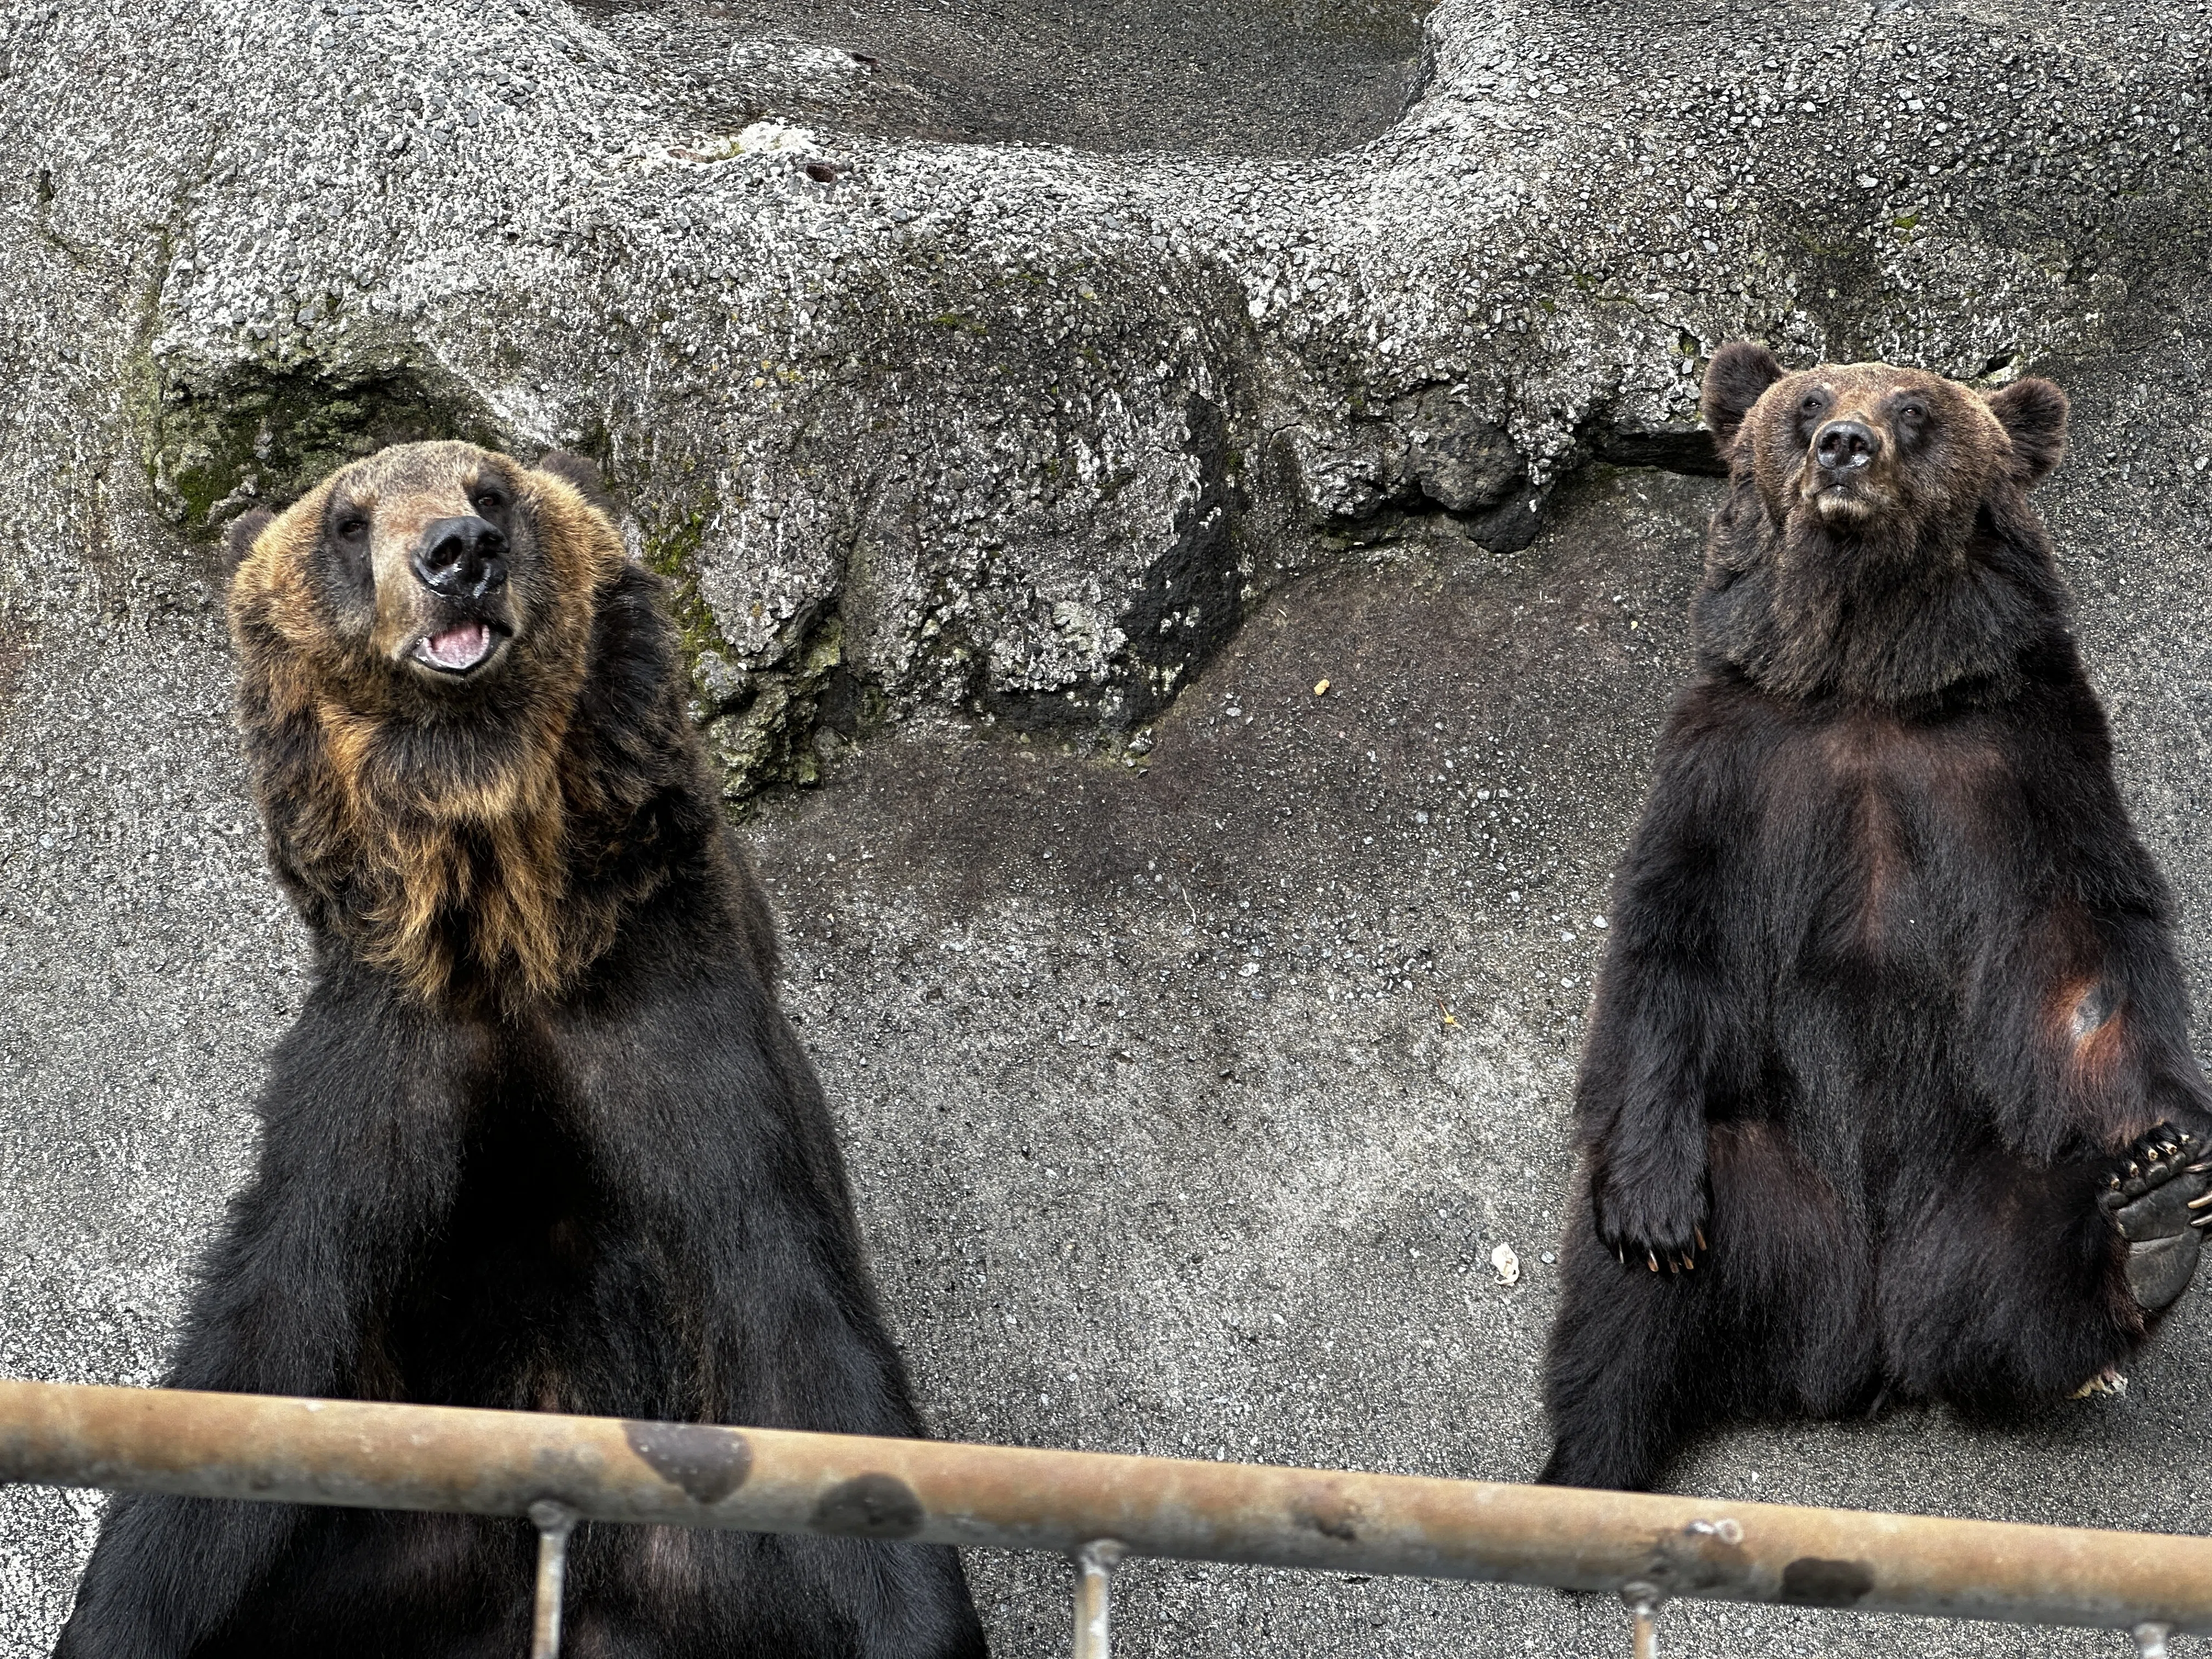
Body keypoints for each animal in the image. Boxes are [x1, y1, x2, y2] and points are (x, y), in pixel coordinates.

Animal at [55, 441, 989, 1657]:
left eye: (490, 489)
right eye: (349, 520)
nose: (459, 552)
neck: (506, 926)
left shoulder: (666, 1030)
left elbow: (790, 1305)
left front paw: (927, 1615)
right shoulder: (386, 1065)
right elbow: (265, 1330)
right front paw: (115, 1612)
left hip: (710, 1569)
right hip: (390, 1558)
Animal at [1538, 347, 2212, 1493]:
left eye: (1915, 409)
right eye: (1805, 400)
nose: (1842, 444)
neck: (1864, 677)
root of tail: (1863, 1338)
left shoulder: (2023, 759)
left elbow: (2082, 953)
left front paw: (2174, 1145)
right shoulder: (1733, 763)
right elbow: (1671, 943)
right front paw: (1648, 1203)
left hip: (1981, 1182)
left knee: (2027, 1262)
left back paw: (2148, 1229)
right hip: (1759, 1187)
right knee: (1622, 1305)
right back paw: (1581, 1463)